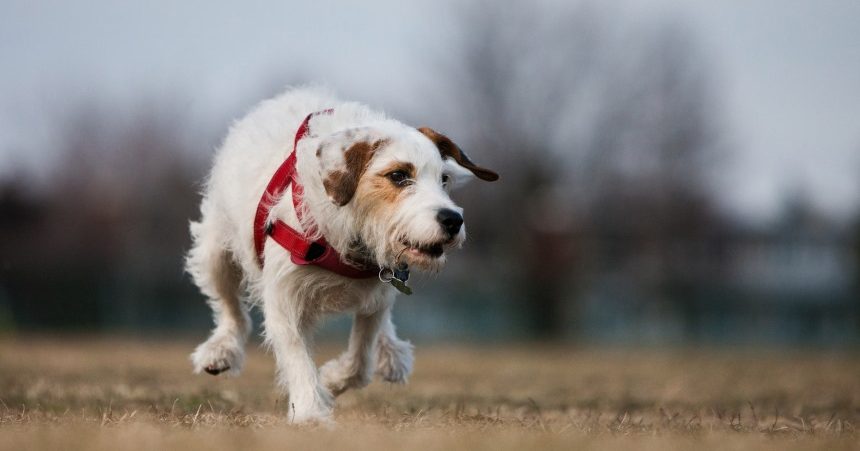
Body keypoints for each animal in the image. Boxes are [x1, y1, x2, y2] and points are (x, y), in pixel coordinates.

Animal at [186, 87, 498, 424]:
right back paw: (220, 350)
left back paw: (391, 353)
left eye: (444, 179)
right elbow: (297, 357)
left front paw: (331, 380)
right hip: (216, 252)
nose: (453, 220)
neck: (351, 227)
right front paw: (310, 411)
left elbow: (361, 362)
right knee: (231, 308)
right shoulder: (284, 297)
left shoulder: (377, 293)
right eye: (399, 176)